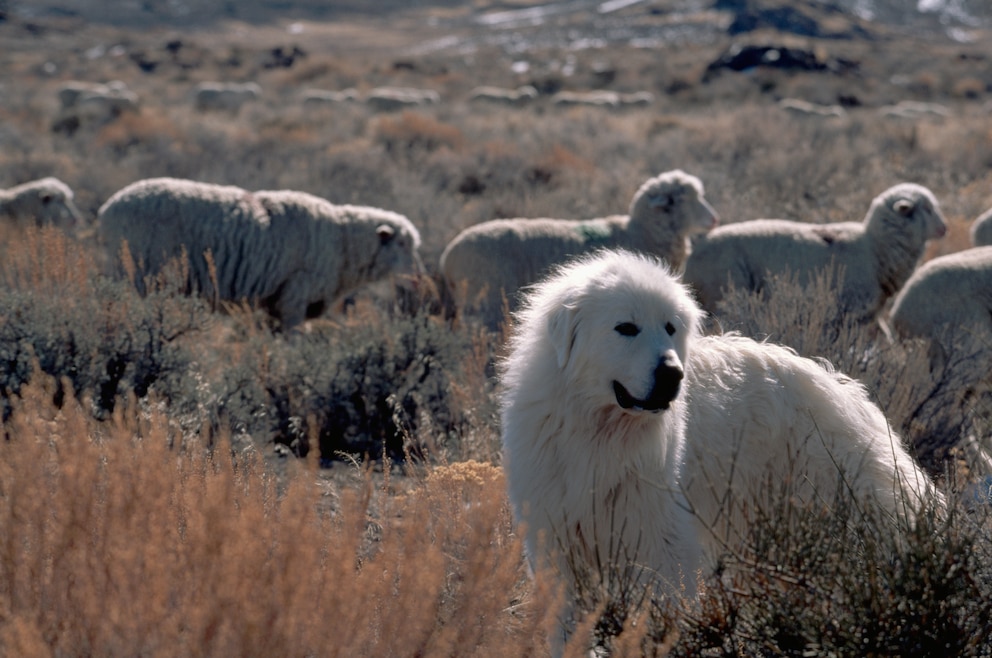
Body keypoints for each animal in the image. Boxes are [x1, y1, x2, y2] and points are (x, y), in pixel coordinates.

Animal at [97, 177, 426, 328]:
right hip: (138, 276)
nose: (418, 280)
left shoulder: (275, 306)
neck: (342, 242)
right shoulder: (294, 299)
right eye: (402, 244)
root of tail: (107, 209)